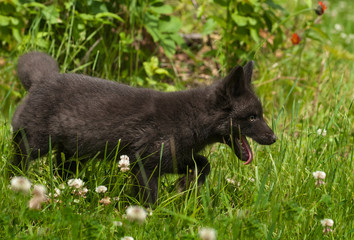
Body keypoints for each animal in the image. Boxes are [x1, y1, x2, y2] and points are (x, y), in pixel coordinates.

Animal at [11, 52, 276, 202]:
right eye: (252, 117)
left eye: (260, 115)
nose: (273, 138)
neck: (190, 120)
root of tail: (41, 80)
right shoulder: (145, 164)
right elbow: (150, 199)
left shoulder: (171, 158)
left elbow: (204, 164)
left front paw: (186, 186)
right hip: (34, 145)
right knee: (15, 162)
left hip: (72, 157)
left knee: (62, 175)